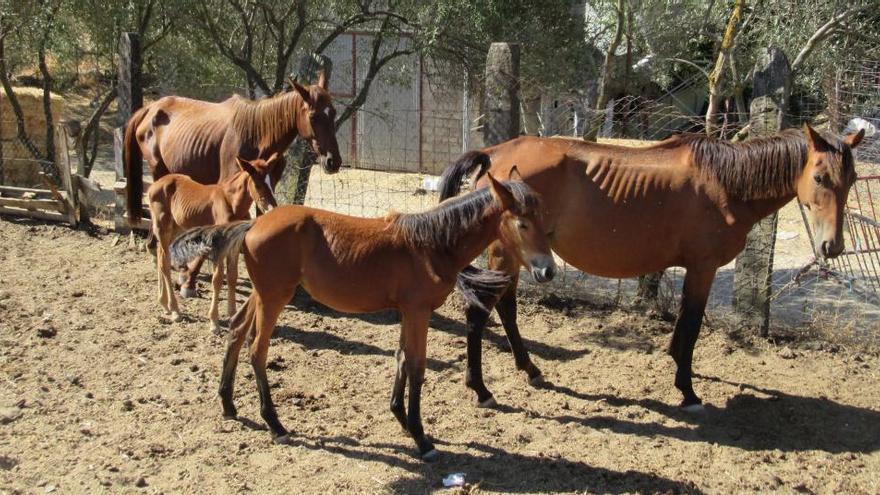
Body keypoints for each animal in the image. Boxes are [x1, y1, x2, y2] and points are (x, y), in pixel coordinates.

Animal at [125, 70, 342, 226]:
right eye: (313, 116)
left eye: (333, 112)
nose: (334, 161)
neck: (257, 135)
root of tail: (150, 108)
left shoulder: (263, 188)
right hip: (158, 171)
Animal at [168, 173, 556, 462]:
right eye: (522, 223)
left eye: (545, 222)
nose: (548, 270)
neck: (431, 244)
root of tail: (251, 225)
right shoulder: (418, 312)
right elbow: (417, 367)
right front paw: (421, 438)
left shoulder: (407, 312)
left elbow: (401, 359)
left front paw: (401, 418)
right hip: (275, 297)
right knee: (257, 350)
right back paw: (275, 424)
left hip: (263, 295)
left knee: (235, 331)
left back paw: (228, 404)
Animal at [436, 123, 864, 410]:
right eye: (820, 177)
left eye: (853, 179)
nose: (832, 246)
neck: (724, 183)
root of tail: (496, 154)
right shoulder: (704, 267)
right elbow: (692, 325)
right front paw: (687, 390)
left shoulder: (694, 268)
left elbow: (683, 324)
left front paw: (676, 363)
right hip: (505, 256)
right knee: (480, 314)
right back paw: (481, 389)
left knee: (506, 309)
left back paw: (530, 369)